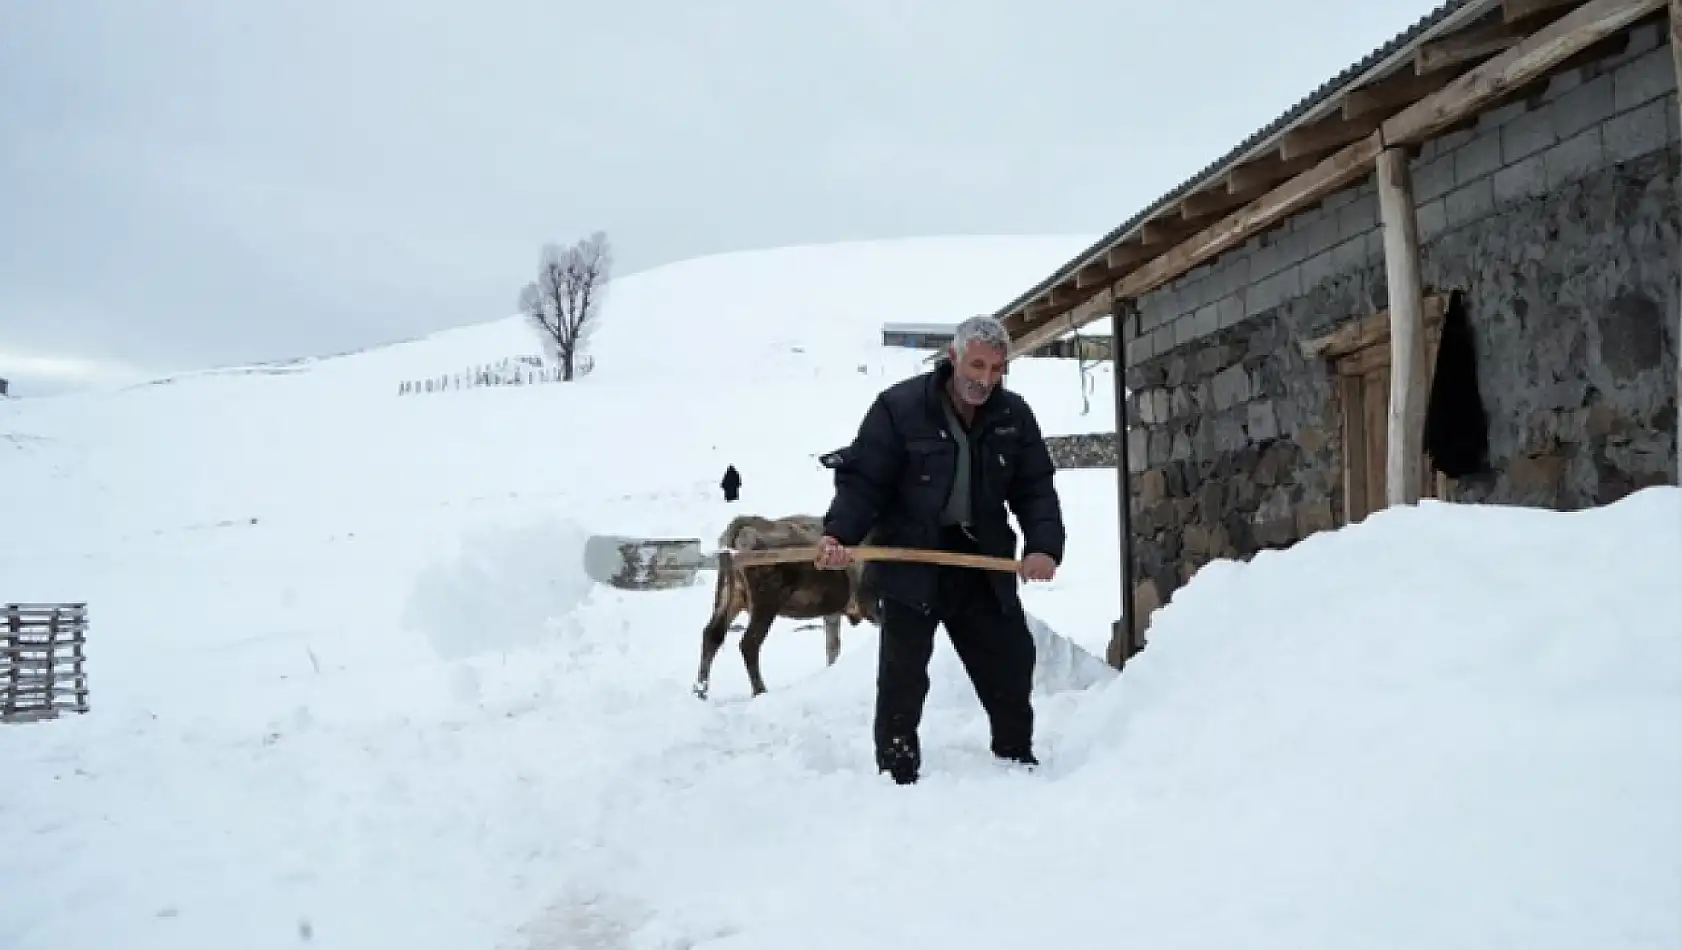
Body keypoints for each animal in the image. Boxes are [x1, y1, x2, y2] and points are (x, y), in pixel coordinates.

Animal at [692, 511, 881, 696]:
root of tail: (741, 525)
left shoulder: (833, 611)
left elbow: (832, 648)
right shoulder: (868, 605)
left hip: (730, 595)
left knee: (712, 635)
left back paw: (700, 690)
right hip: (766, 601)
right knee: (749, 643)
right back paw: (760, 691)